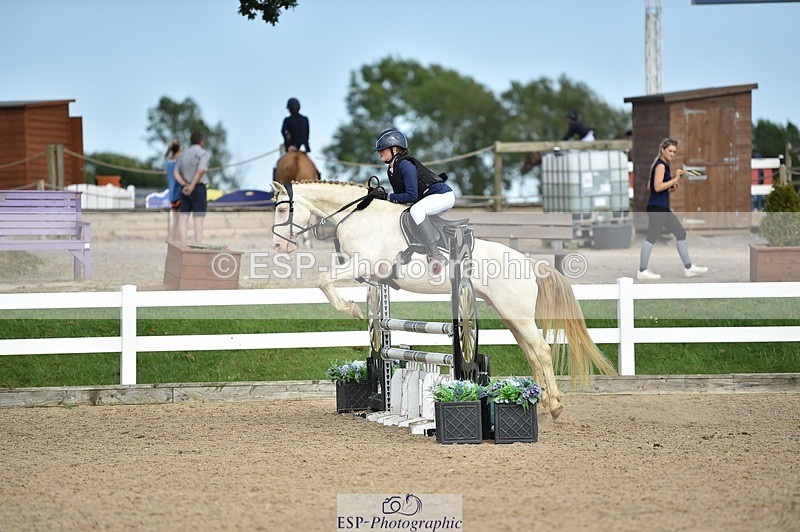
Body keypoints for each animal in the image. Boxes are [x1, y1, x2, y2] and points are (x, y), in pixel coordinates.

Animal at [270, 180, 616, 419]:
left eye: (282, 209)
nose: (279, 247)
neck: (357, 217)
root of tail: (530, 264)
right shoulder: (368, 274)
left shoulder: (363, 265)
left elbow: (323, 279)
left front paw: (351, 309)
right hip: (509, 314)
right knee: (532, 353)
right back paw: (543, 403)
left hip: (515, 313)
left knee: (541, 351)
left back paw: (555, 406)